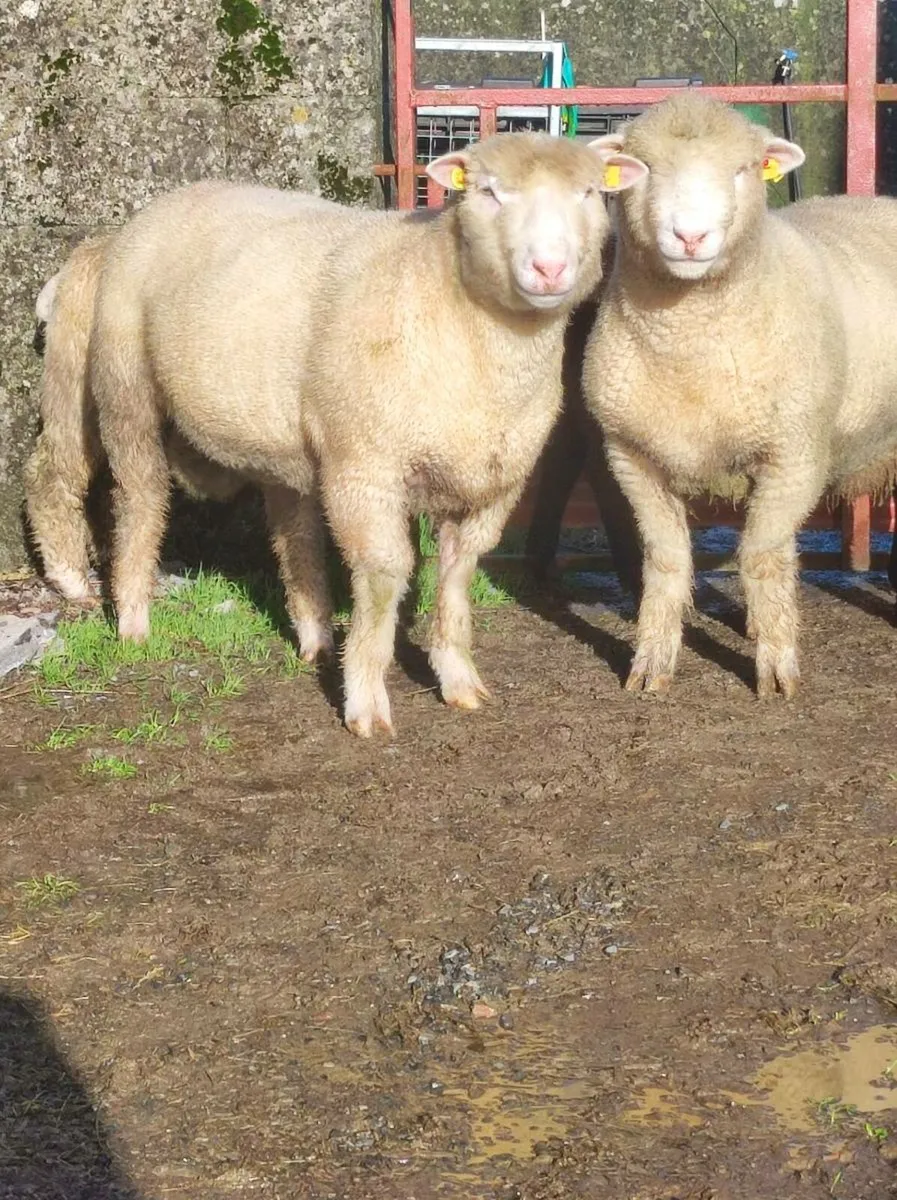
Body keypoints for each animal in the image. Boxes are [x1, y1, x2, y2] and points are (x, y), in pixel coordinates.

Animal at [83, 133, 645, 735]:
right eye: (490, 193)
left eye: (588, 192)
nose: (548, 268)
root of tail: (171, 198)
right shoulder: (364, 468)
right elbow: (382, 576)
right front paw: (366, 702)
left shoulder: (492, 485)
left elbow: (458, 574)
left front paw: (458, 678)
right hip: (126, 391)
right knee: (140, 501)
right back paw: (134, 623)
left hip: (286, 440)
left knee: (295, 532)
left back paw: (315, 639)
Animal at [582, 91, 897, 699]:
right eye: (644, 167)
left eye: (742, 169)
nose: (690, 237)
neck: (689, 352)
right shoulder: (630, 456)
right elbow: (665, 562)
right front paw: (651, 663)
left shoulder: (795, 456)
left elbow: (762, 559)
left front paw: (776, 669)